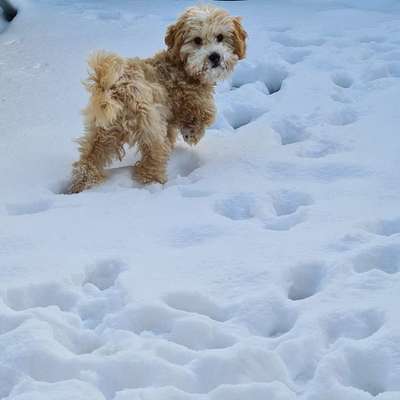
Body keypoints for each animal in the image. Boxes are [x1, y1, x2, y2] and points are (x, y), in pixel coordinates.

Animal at [68, 4, 247, 194]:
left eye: (220, 37)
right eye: (197, 40)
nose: (215, 56)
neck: (182, 66)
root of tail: (117, 88)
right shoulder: (191, 98)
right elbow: (206, 114)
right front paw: (192, 134)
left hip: (103, 131)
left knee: (89, 160)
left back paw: (82, 186)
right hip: (151, 127)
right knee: (152, 160)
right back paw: (153, 185)